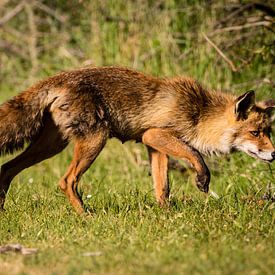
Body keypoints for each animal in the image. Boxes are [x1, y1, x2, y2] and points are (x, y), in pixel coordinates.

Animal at [0, 67, 274, 213]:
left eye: (268, 132)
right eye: (255, 133)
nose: (274, 154)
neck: (199, 112)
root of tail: (56, 78)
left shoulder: (154, 146)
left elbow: (162, 187)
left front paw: (166, 215)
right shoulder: (154, 134)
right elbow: (195, 155)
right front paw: (202, 179)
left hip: (52, 146)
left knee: (6, 168)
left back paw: (2, 209)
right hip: (94, 140)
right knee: (66, 181)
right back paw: (86, 216)